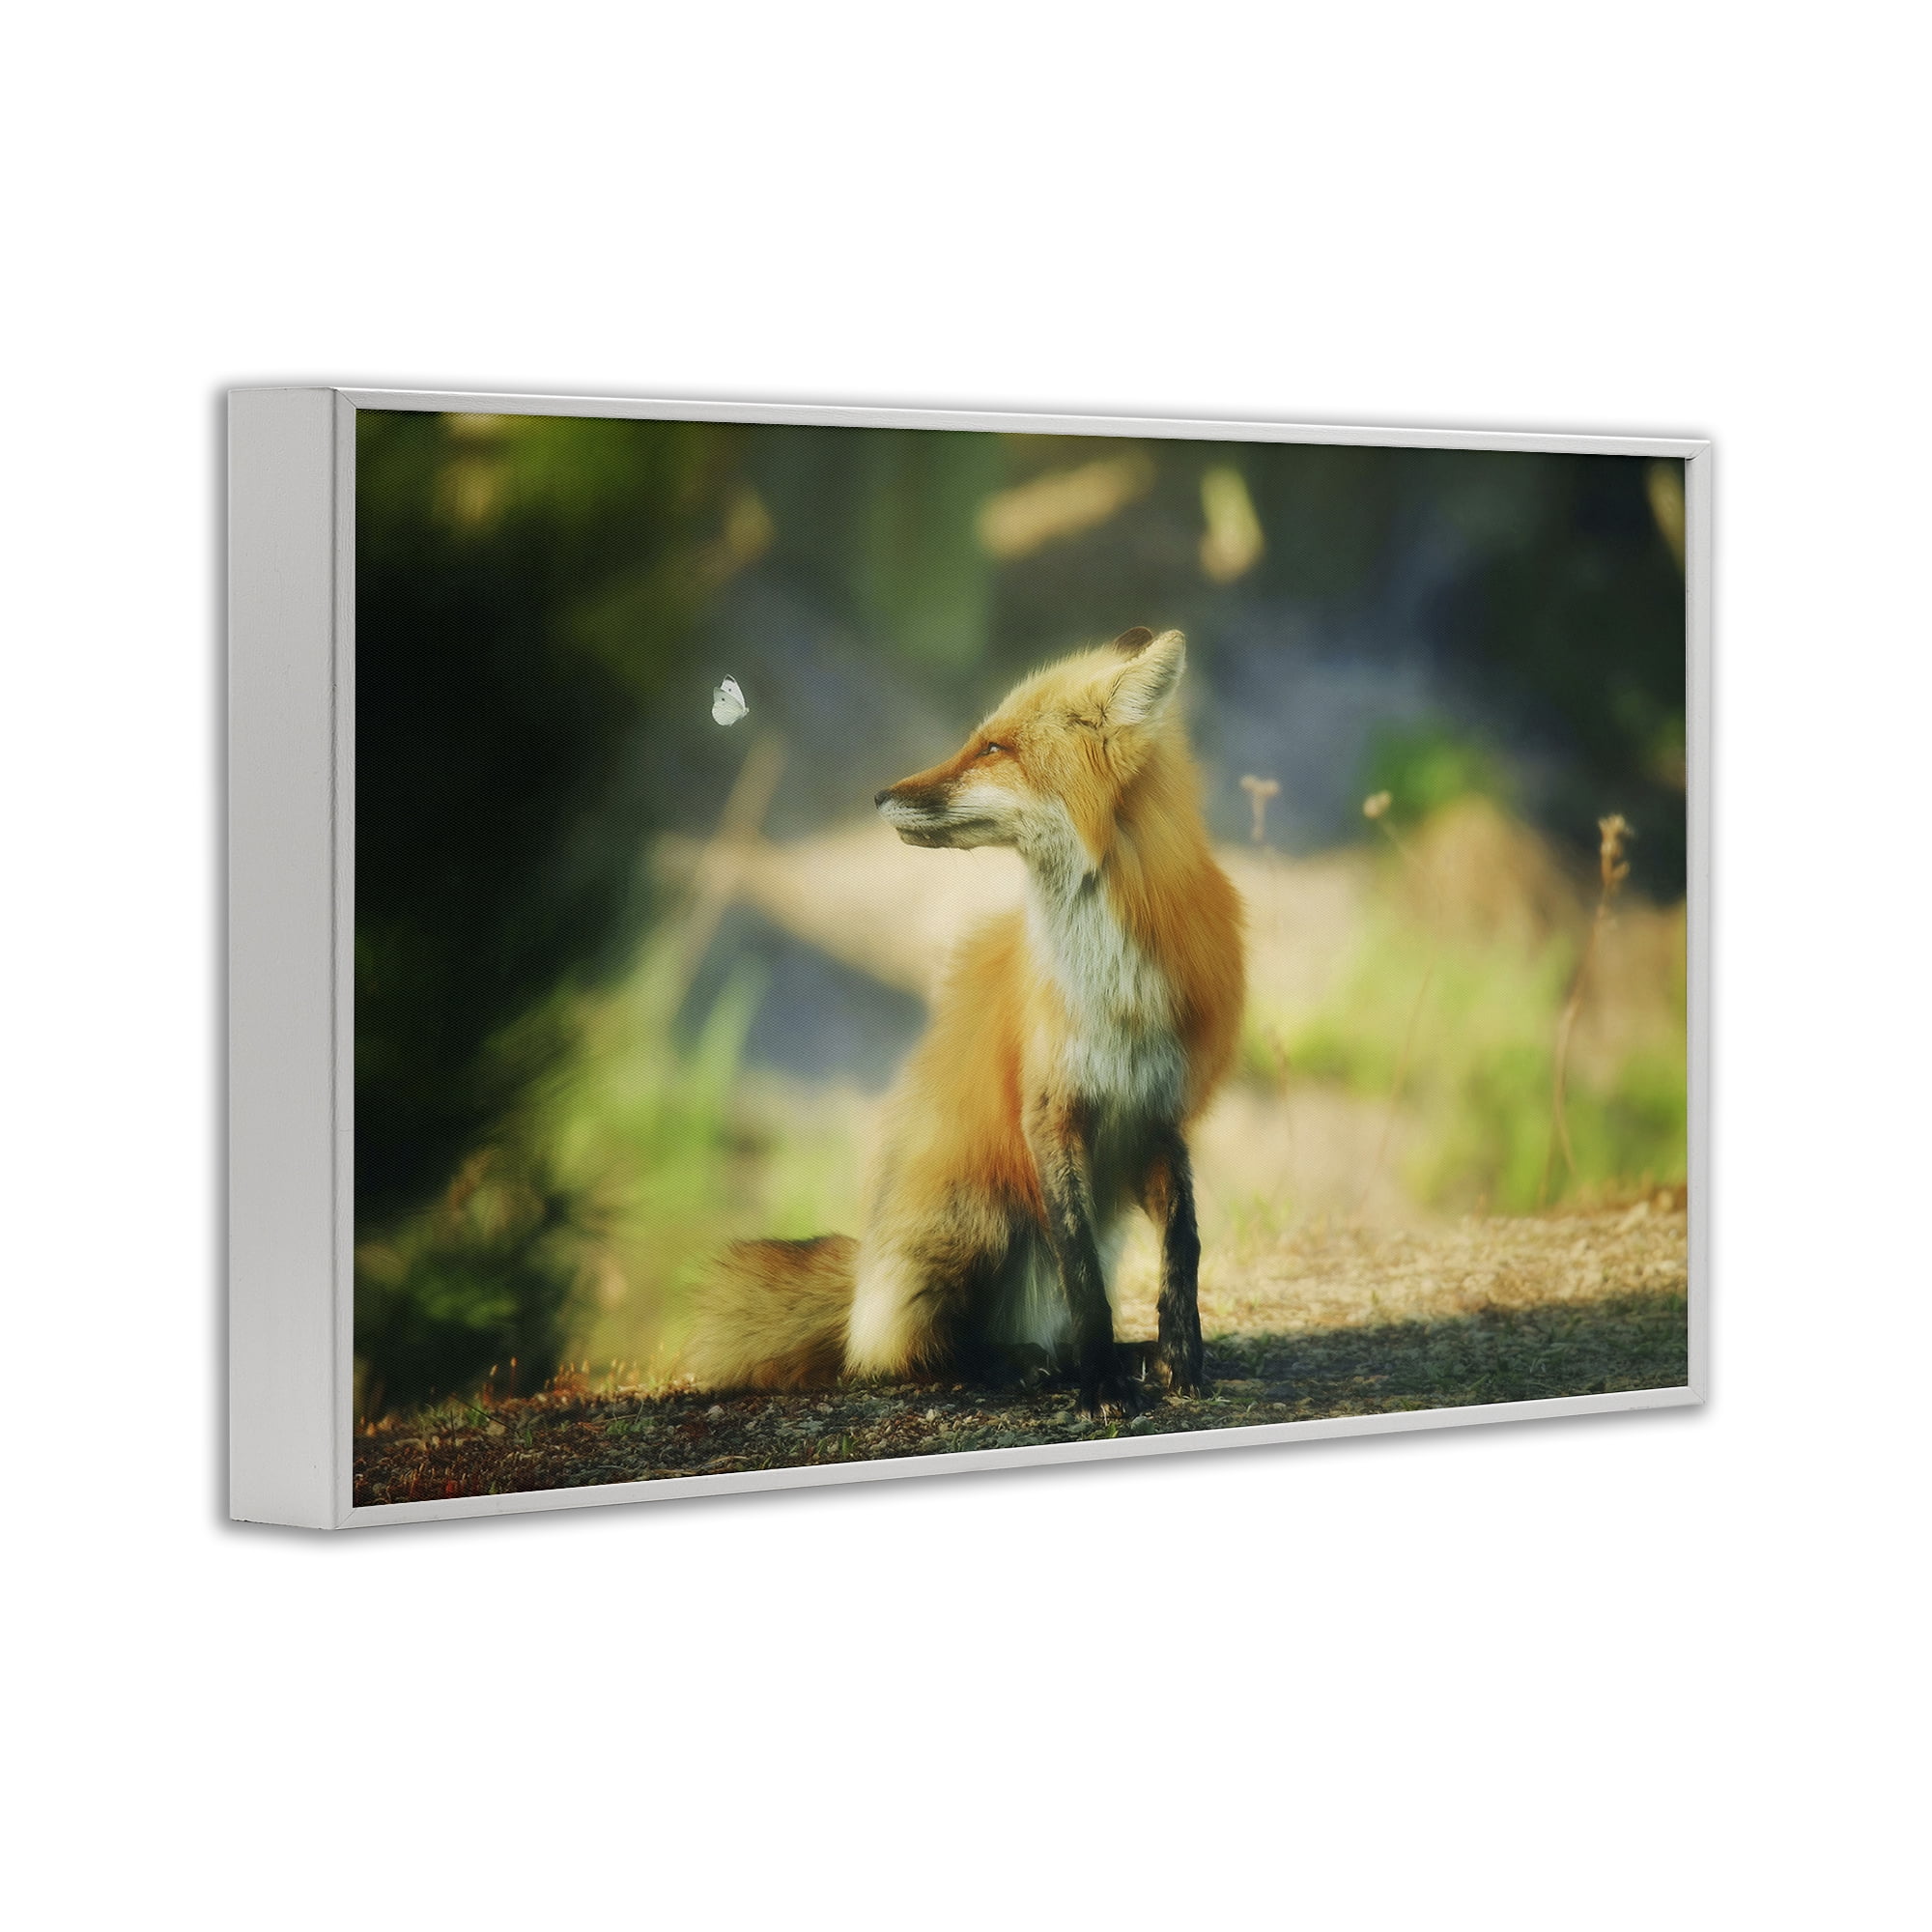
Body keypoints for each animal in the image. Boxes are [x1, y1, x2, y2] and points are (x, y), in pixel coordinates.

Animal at [683, 626, 1245, 1416]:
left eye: (994, 749)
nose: (879, 794)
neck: (1112, 984)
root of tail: (864, 1282)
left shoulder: (1160, 1112)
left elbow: (1184, 1249)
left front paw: (1181, 1359)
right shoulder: (1048, 1110)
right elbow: (1083, 1278)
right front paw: (1103, 1386)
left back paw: (1097, 1356)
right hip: (981, 1214)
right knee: (910, 1355)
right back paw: (1019, 1364)